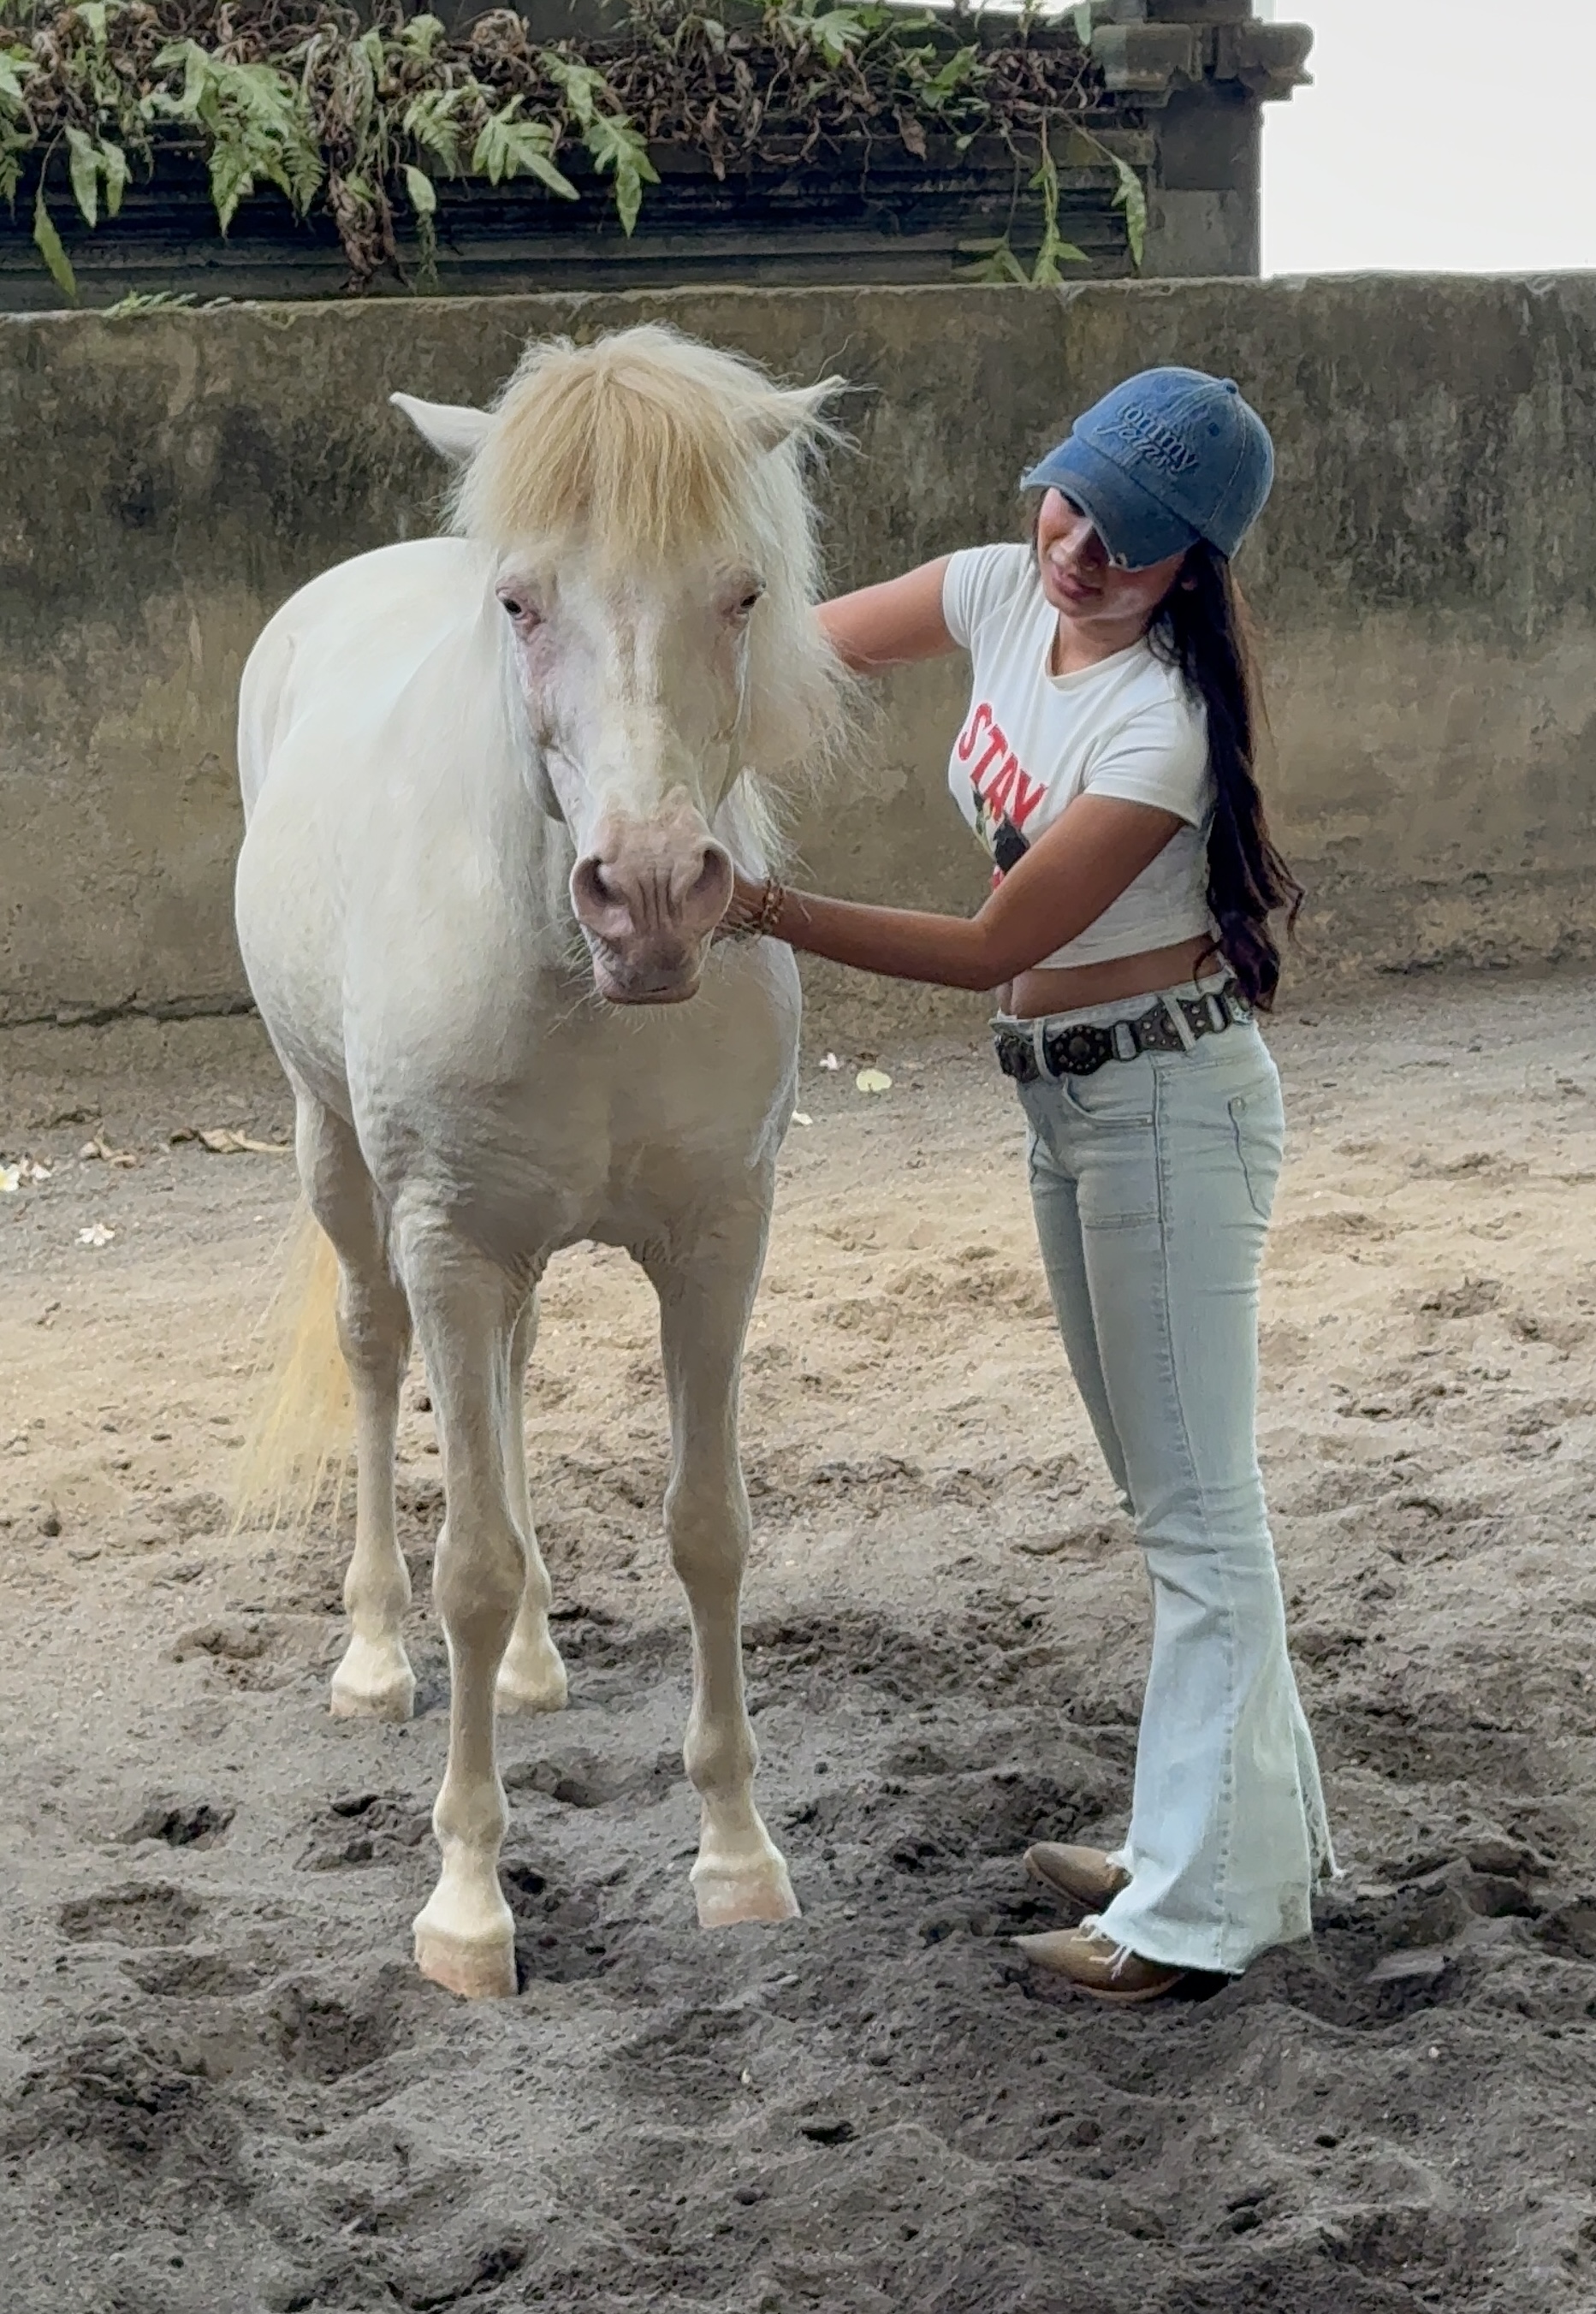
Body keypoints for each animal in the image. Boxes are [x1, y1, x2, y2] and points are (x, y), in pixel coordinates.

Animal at [233, 323, 849, 1999]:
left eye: (742, 590)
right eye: (519, 601)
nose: (648, 895)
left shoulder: (717, 1238)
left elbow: (708, 1528)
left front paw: (738, 1858)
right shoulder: (447, 1236)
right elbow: (470, 1561)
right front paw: (465, 1904)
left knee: (504, 1384)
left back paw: (528, 1667)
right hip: (344, 1169)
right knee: (378, 1360)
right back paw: (377, 1657)